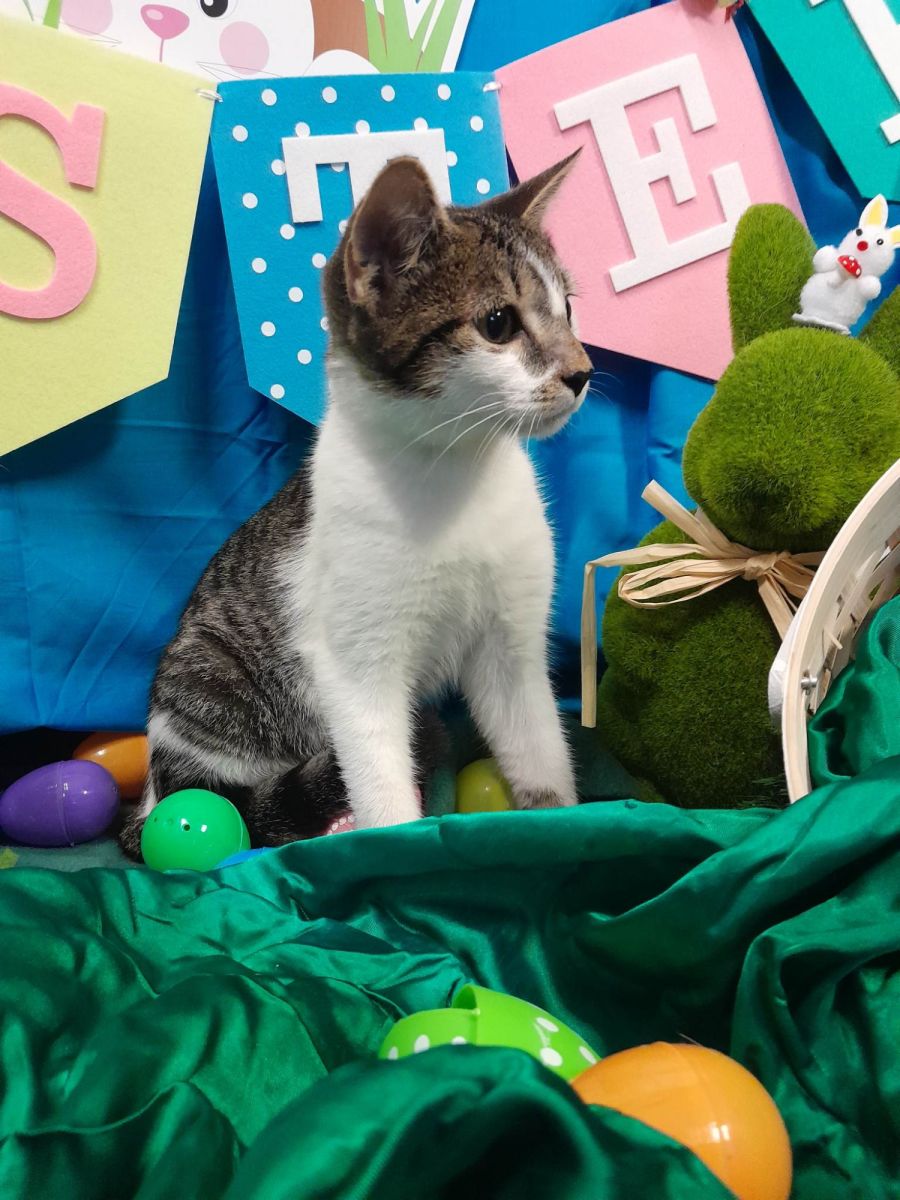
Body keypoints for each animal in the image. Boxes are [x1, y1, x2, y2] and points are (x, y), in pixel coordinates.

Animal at [120, 151, 592, 855]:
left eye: (568, 311)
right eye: (498, 324)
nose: (582, 371)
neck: (456, 476)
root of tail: (148, 793)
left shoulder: (512, 645)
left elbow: (538, 749)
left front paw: (562, 824)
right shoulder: (355, 661)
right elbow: (376, 772)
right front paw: (391, 848)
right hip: (206, 669)